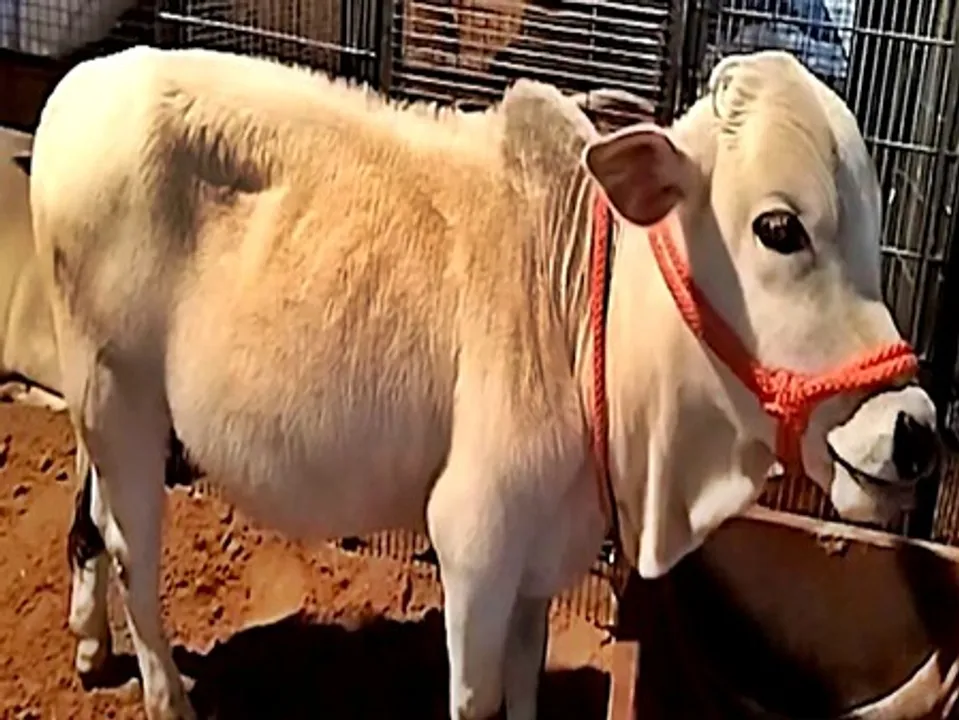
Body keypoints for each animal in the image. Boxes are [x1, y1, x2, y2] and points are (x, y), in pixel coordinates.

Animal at [28, 45, 939, 720]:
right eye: (779, 228)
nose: (916, 429)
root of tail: (83, 81)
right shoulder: (474, 541)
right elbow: (477, 697)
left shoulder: (540, 559)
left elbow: (525, 685)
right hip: (117, 395)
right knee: (130, 545)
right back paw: (164, 695)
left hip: (109, 408)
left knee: (92, 518)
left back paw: (89, 644)